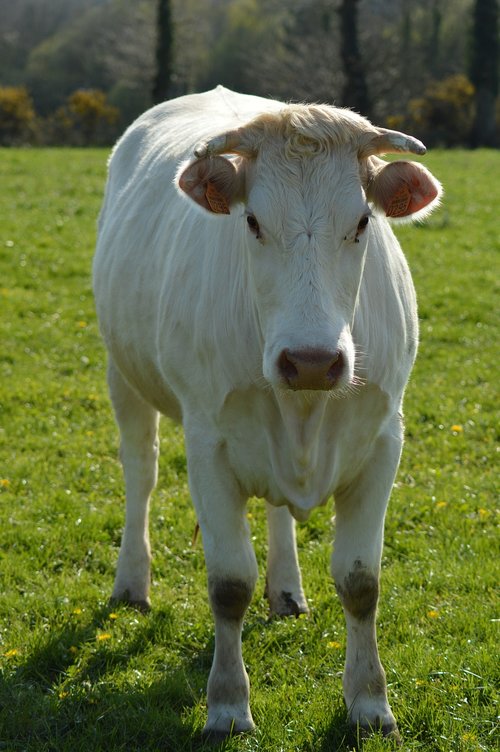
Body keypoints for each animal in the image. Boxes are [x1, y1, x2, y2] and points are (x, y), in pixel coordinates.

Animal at [93, 86, 442, 740]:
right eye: (252, 222)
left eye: (362, 222)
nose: (310, 361)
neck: (305, 409)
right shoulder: (207, 444)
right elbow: (229, 584)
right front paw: (228, 706)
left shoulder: (384, 439)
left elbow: (361, 582)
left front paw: (370, 703)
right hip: (122, 374)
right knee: (140, 474)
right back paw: (132, 582)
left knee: (277, 511)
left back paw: (287, 590)